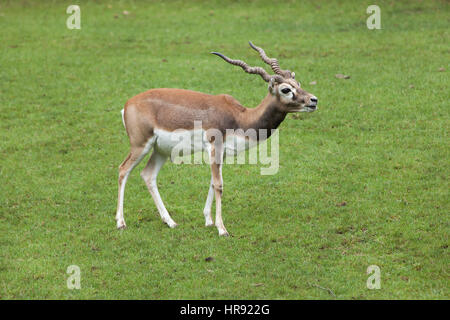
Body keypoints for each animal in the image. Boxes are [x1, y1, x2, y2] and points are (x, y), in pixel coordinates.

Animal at [118, 41, 318, 235]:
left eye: (298, 83)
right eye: (286, 89)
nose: (313, 100)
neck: (241, 117)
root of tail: (128, 104)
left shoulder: (221, 153)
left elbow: (212, 183)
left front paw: (209, 220)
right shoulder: (215, 147)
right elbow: (219, 185)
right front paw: (222, 229)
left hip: (161, 150)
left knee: (148, 175)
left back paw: (170, 222)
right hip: (140, 145)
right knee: (123, 170)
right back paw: (121, 223)